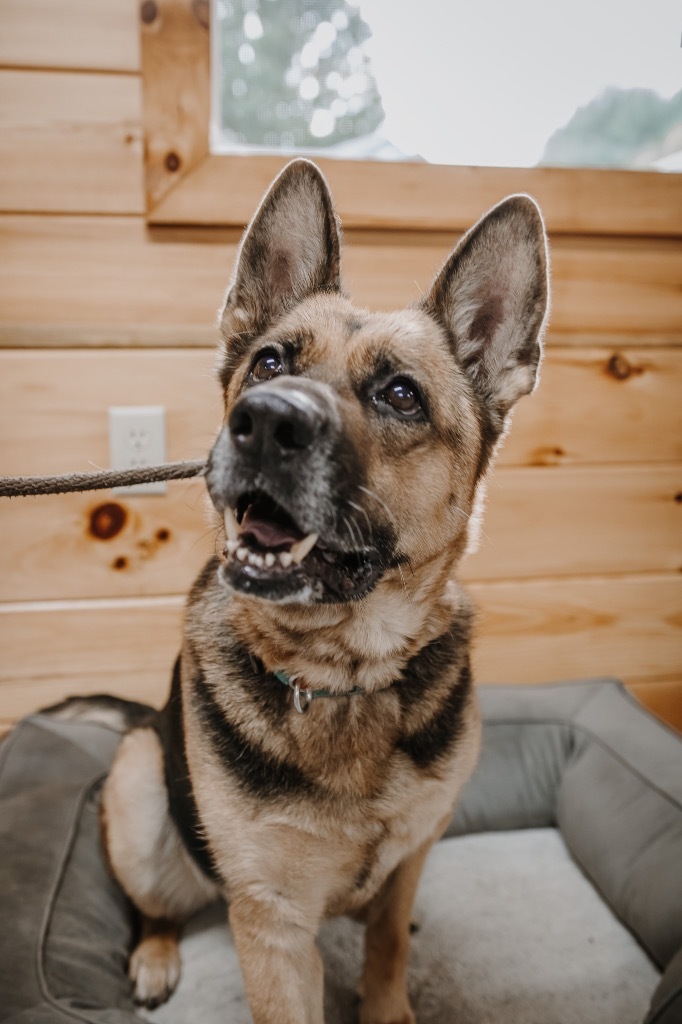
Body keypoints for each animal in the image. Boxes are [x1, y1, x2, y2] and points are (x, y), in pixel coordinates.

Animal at [99, 161, 548, 1024]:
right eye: (271, 363)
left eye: (402, 395)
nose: (263, 422)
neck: (346, 675)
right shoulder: (273, 929)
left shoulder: (414, 852)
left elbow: (389, 944)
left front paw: (388, 999)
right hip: (137, 792)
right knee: (156, 903)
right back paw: (154, 953)